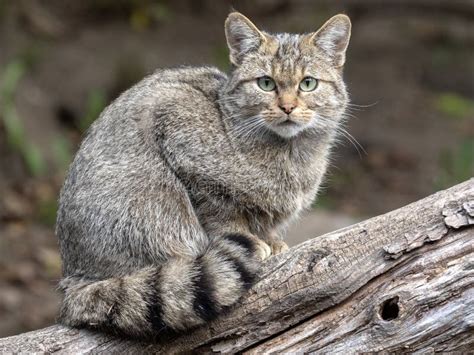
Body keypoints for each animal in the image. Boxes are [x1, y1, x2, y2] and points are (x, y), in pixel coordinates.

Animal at [56, 11, 352, 340]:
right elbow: (224, 217)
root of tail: (74, 280)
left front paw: (272, 241)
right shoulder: (182, 144)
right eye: (266, 83)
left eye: (308, 83)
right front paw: (254, 241)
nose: (287, 107)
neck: (290, 154)